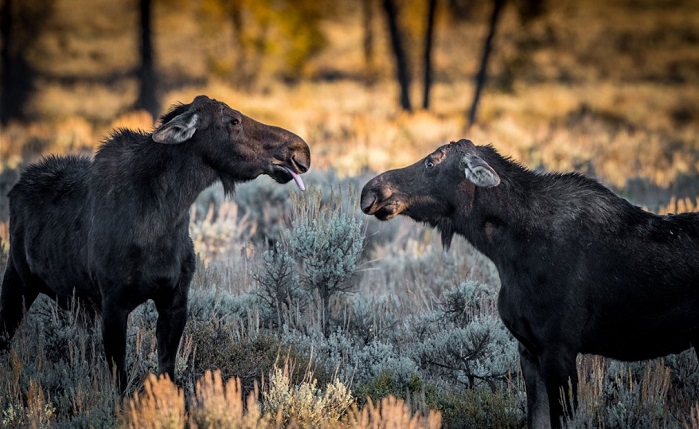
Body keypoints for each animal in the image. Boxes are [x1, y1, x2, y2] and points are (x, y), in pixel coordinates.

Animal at [0, 94, 312, 392]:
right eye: (233, 121)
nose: (300, 150)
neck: (166, 217)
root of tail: (16, 188)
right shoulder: (113, 303)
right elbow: (120, 382)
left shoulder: (175, 299)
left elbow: (166, 372)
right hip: (18, 280)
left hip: (79, 305)